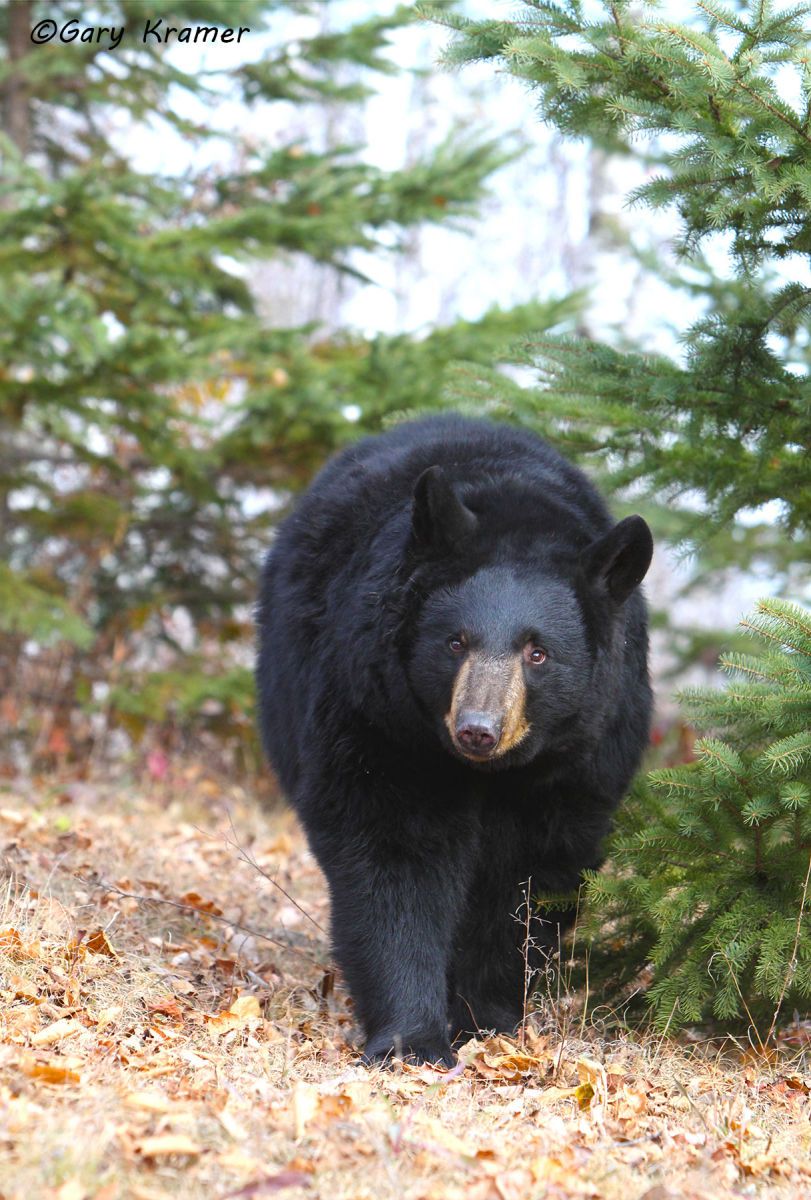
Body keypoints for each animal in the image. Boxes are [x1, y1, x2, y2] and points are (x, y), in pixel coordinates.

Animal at [256, 414, 653, 1067]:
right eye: (455, 641)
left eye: (537, 652)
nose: (477, 729)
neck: (489, 773)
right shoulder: (379, 718)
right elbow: (395, 856)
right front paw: (412, 1041)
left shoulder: (583, 756)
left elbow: (528, 879)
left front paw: (485, 1019)